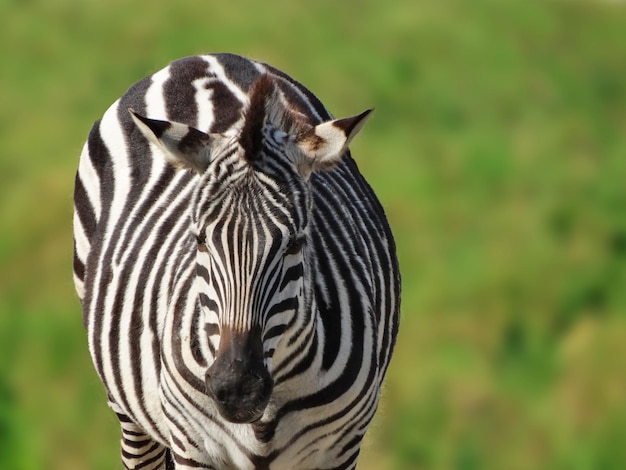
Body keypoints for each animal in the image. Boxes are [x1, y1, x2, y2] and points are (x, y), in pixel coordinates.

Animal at [72, 53, 394, 468]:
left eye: (296, 243)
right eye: (200, 240)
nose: (237, 389)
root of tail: (205, 57)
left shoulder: (340, 450)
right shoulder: (194, 445)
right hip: (129, 411)